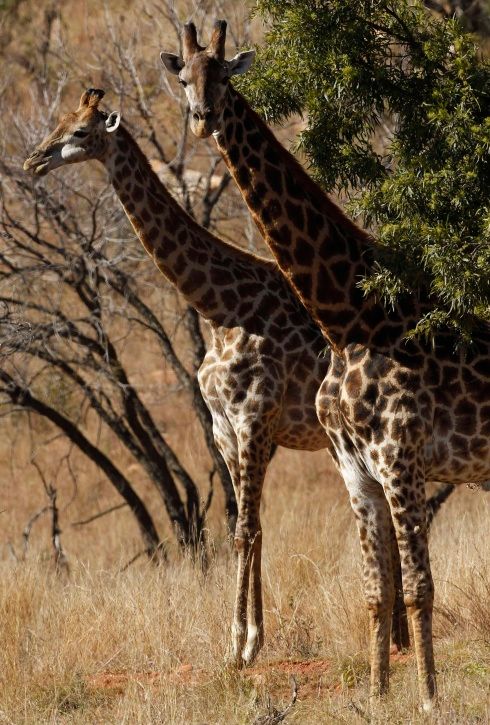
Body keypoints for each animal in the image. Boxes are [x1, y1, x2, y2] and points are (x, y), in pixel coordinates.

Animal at [162, 22, 490, 708]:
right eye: (183, 78)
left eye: (223, 75)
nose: (203, 119)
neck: (348, 320)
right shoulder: (356, 468)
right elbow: (376, 587)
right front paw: (380, 693)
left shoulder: (399, 457)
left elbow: (417, 586)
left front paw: (429, 698)